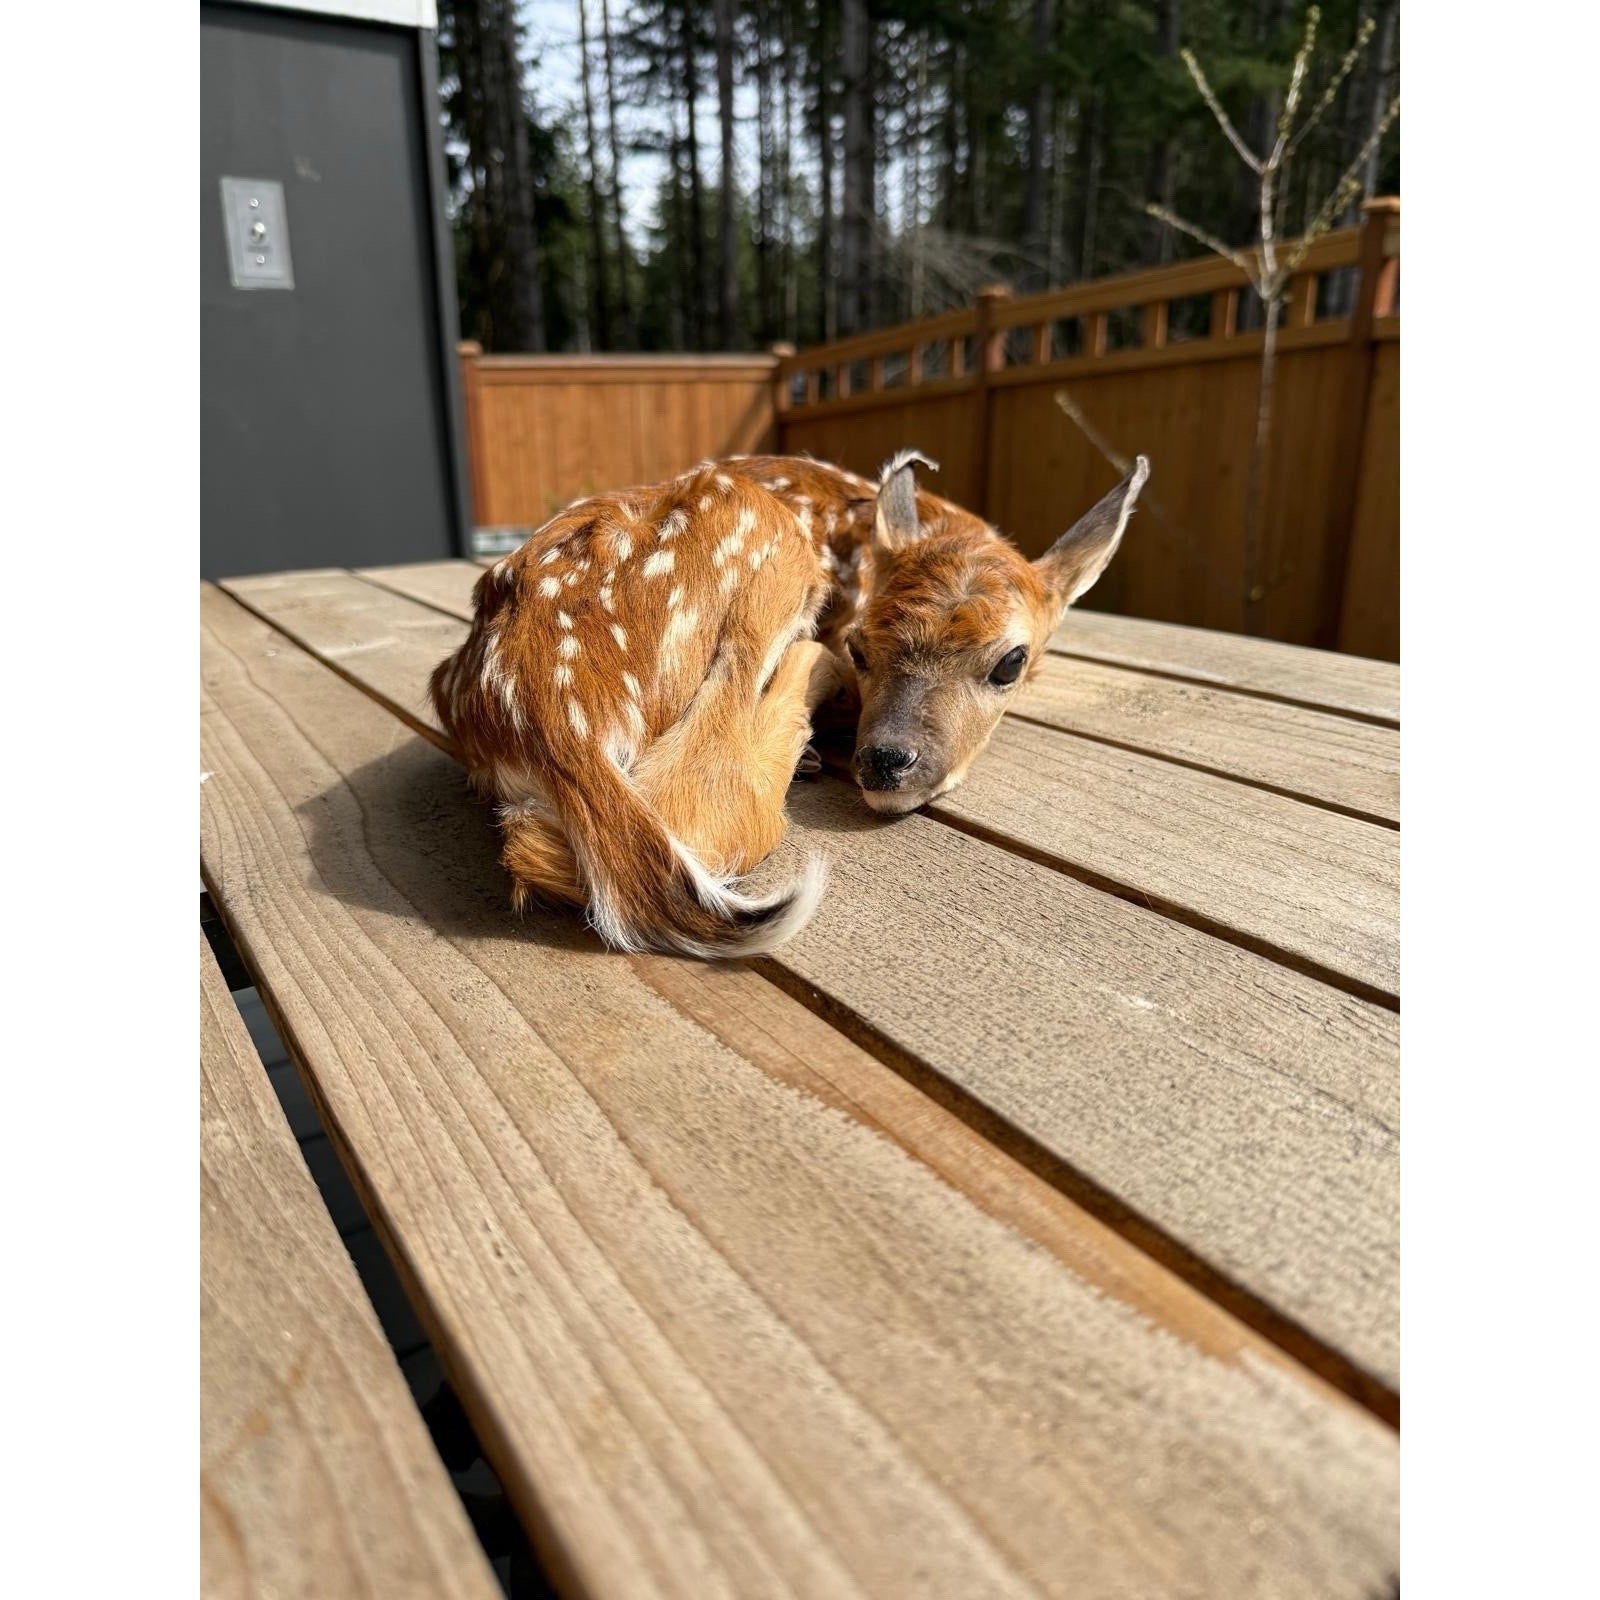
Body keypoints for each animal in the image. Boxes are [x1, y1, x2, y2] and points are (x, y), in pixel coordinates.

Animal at [430, 450, 1148, 957]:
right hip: (761, 535)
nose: (885, 760)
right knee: (712, 794)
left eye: (1010, 662)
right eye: (861, 646)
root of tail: (539, 710)